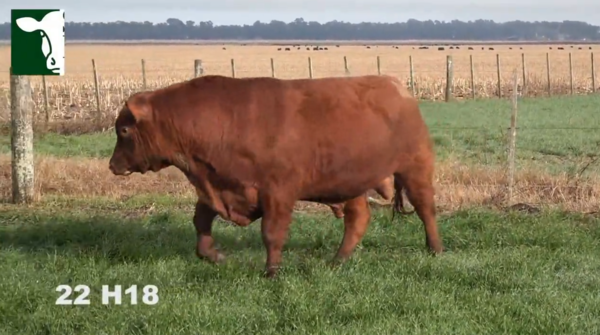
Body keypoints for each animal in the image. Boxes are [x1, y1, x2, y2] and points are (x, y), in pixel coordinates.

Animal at [110, 75, 442, 278]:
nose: (113, 165)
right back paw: (337, 260)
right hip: (350, 184)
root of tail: (397, 86)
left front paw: (271, 272)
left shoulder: (278, 193)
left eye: (123, 130)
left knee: (426, 209)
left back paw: (435, 249)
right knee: (358, 219)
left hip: (415, 169)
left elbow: (272, 233)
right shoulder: (220, 187)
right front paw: (214, 256)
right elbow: (201, 222)